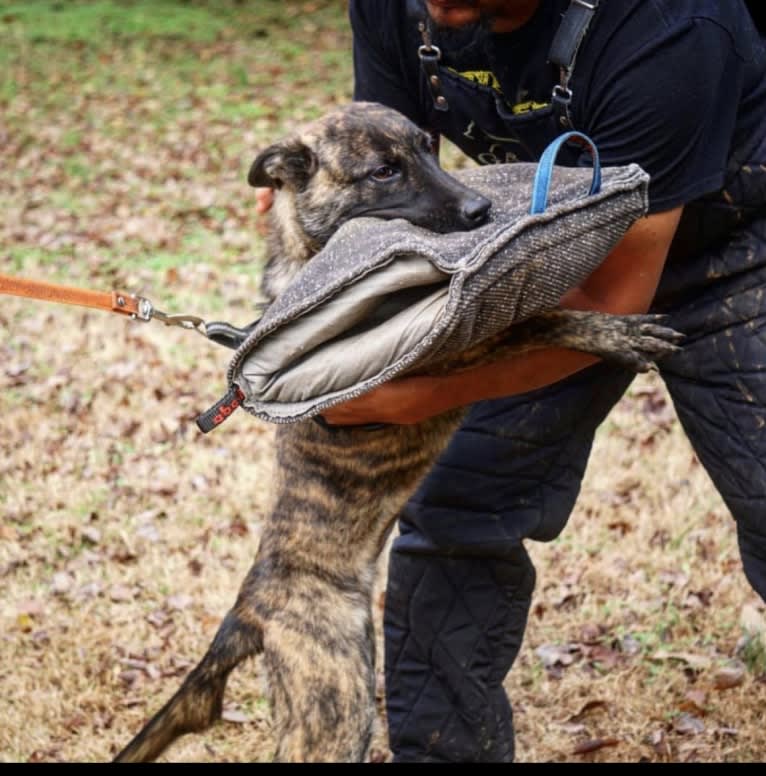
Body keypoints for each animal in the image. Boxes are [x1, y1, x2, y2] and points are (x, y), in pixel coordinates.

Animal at [115, 100, 684, 760]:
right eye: (384, 171)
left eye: (428, 148)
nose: (481, 211)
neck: (310, 253)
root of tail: (250, 608)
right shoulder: (446, 353)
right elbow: (539, 319)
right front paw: (613, 332)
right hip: (335, 703)